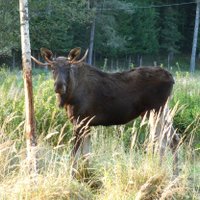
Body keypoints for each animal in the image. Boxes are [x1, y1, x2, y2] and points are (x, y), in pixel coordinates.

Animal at [32, 47, 180, 174]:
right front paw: (86, 175)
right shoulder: (87, 124)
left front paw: (72, 175)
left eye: (68, 68)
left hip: (156, 110)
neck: (70, 96)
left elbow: (74, 154)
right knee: (173, 139)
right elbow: (86, 155)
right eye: (52, 67)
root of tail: (172, 78)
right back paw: (174, 175)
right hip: (157, 111)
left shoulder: (80, 121)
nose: (59, 86)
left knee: (162, 141)